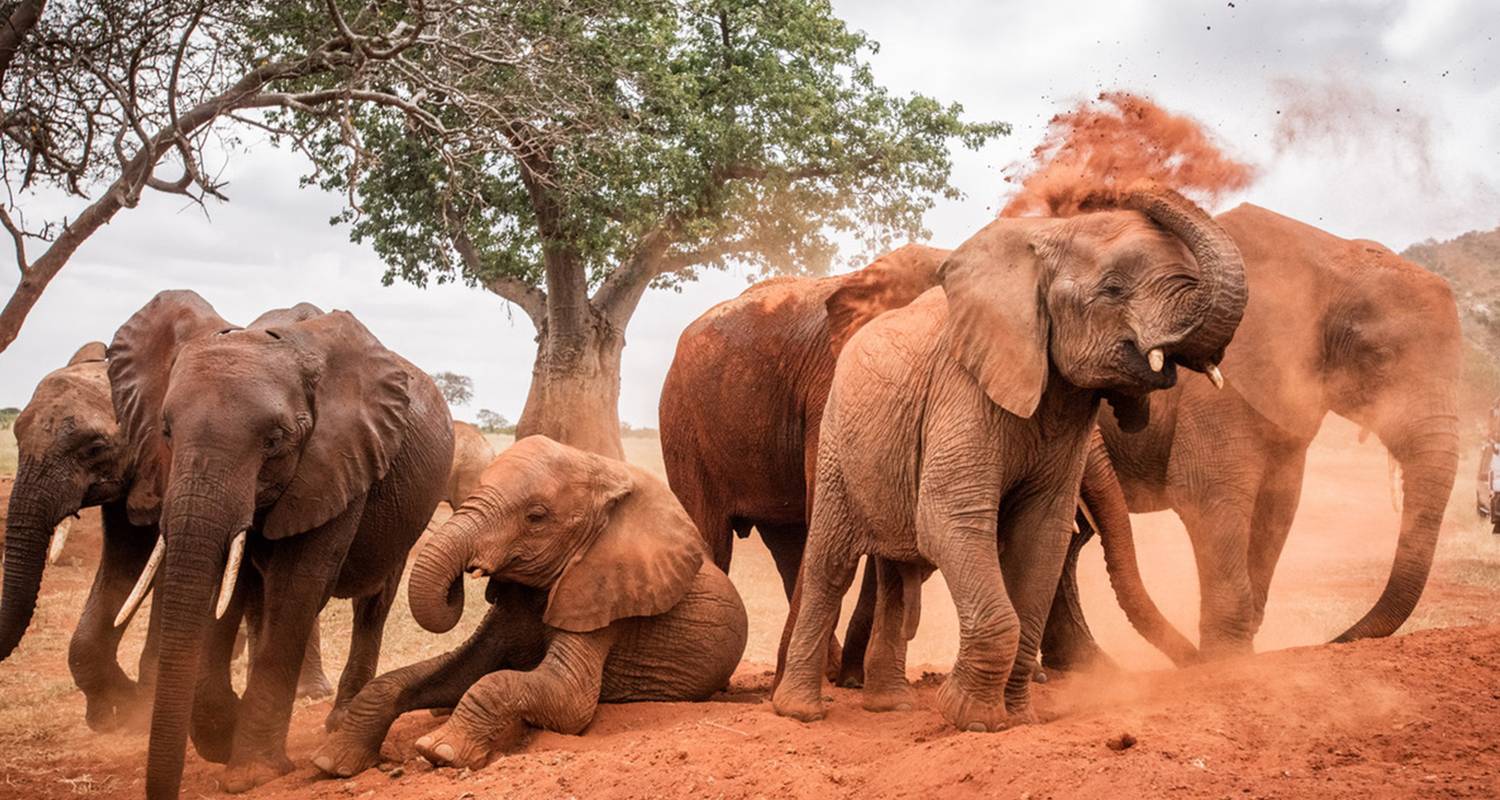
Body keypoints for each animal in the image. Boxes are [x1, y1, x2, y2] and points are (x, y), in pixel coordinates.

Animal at [106, 289, 450, 792]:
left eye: (274, 440)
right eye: (166, 431)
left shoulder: (338, 459)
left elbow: (295, 588)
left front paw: (249, 772)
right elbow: (227, 588)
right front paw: (222, 736)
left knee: (373, 604)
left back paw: (338, 721)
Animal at [312, 432, 750, 774]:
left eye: (535, 517)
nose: (461, 578)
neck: (605, 475)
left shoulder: (605, 603)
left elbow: (564, 700)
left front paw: (441, 751)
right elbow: (456, 670)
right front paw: (331, 761)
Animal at [768, 182, 1248, 729]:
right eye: (1112, 290)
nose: (1127, 187)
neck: (1040, 246)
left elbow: (1043, 534)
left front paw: (1017, 719)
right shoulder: (962, 390)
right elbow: (950, 519)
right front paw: (971, 718)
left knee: (896, 572)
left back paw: (890, 705)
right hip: (836, 442)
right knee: (831, 563)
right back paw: (800, 712)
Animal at [1050, 204, 1458, 660]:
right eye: (1382, 358)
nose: (1332, 640)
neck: (1331, 262)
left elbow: (1278, 507)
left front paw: (1242, 652)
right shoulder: (1217, 389)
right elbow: (1210, 496)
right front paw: (1226, 661)